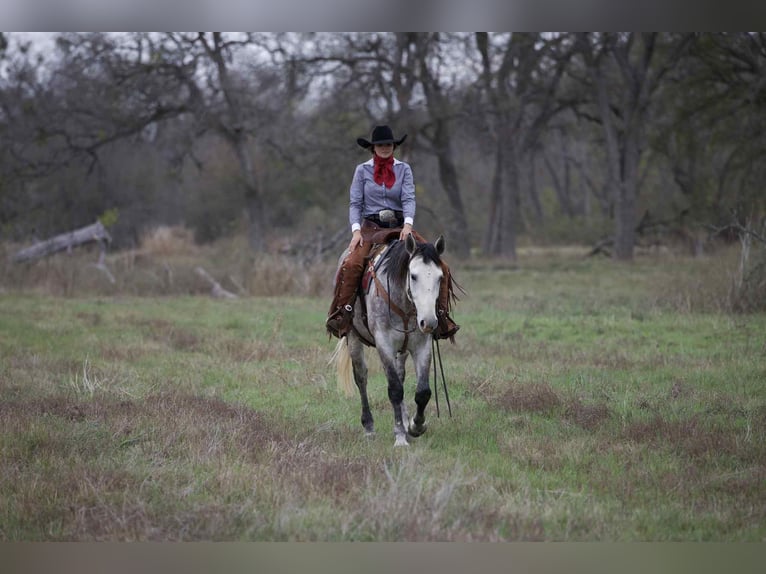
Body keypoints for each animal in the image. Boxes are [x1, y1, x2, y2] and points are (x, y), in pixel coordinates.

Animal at [331, 233, 447, 447]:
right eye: (413, 276)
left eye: (440, 277)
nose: (429, 322)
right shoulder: (383, 343)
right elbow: (394, 389)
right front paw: (400, 436)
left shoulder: (421, 346)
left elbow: (423, 392)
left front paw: (416, 426)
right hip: (353, 338)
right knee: (361, 378)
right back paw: (369, 427)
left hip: (402, 349)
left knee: (400, 375)